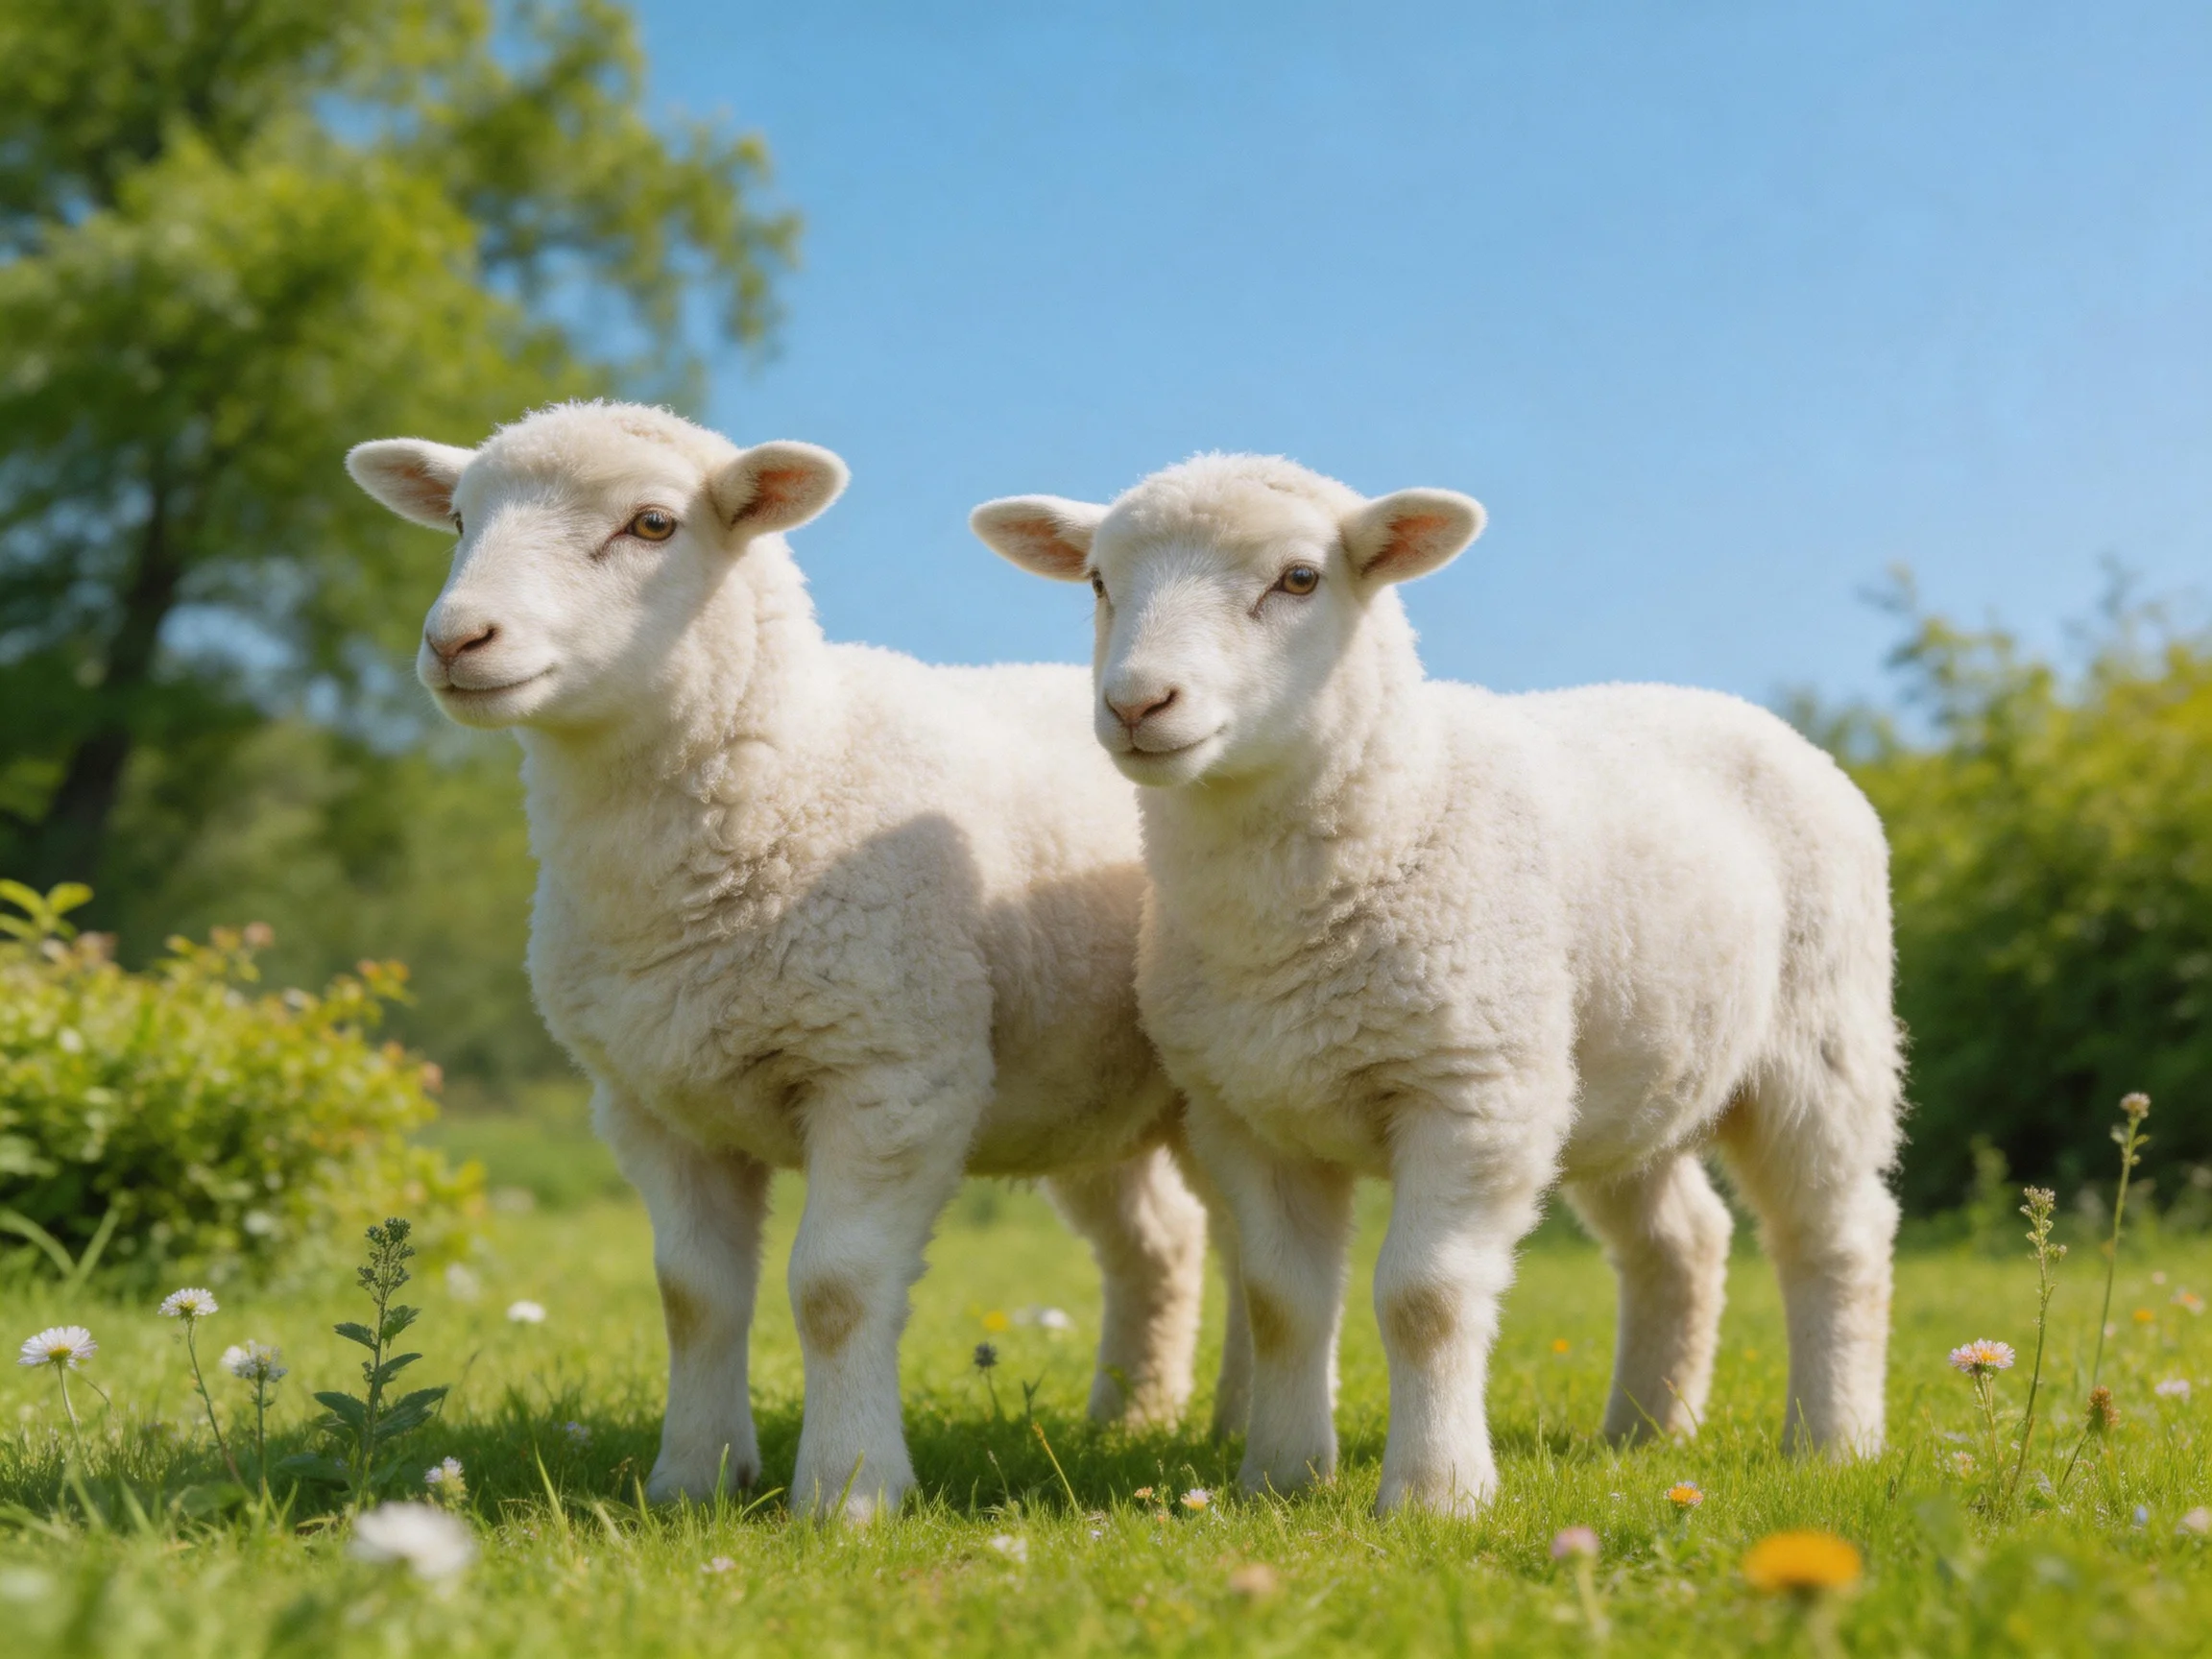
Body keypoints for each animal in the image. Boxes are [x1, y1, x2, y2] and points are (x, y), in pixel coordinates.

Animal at [344, 402, 1247, 1518]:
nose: (456, 639)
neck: (796, 762)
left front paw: (849, 1490)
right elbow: (693, 1297)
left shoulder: (890, 1074)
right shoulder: (650, 1102)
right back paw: (1134, 1417)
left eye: (652, 524)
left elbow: (835, 1289)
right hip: (1086, 1089)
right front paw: (692, 1479)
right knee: (1161, 1244)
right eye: (461, 518)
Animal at [972, 453, 1903, 1516]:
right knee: (1684, 1240)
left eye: (1300, 578)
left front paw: (1435, 1492)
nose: (1136, 704)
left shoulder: (1472, 1093)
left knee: (1835, 1234)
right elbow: (1282, 1302)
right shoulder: (1247, 1112)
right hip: (1618, 1071)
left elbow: (1425, 1298)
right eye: (1096, 581)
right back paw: (1645, 1431)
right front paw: (1280, 1477)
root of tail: (1738, 708)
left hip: (1820, 1039)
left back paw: (1834, 1439)